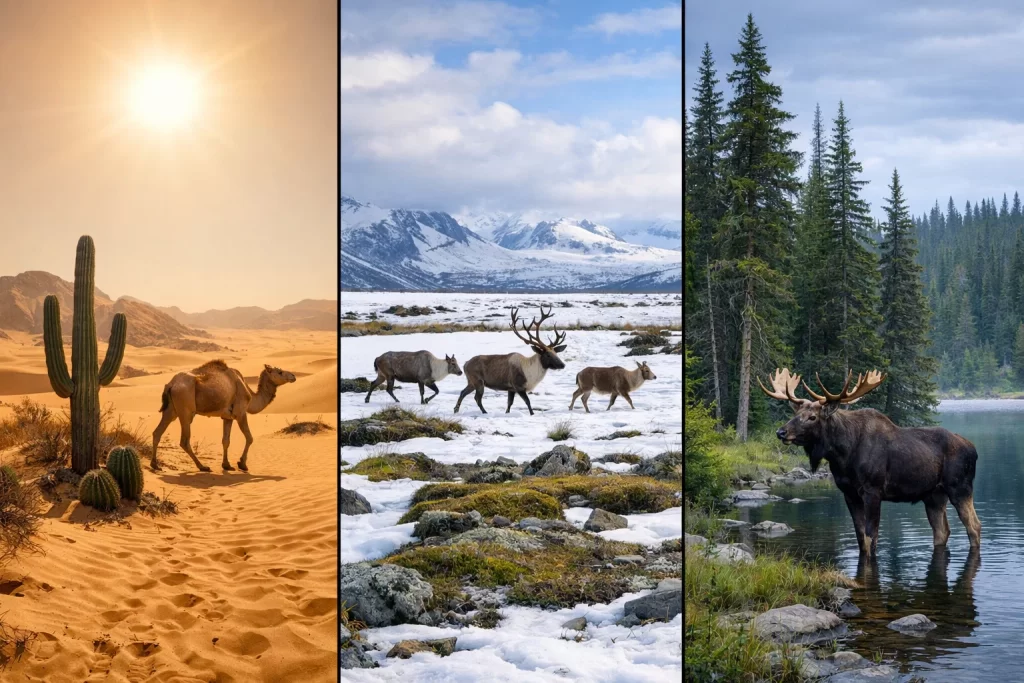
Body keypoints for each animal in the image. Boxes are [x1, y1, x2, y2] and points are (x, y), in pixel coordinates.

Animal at [152, 360, 297, 472]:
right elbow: (249, 438)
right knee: (184, 440)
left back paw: (155, 465)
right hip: (186, 409)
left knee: (157, 432)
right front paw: (242, 464)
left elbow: (226, 440)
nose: (293, 376)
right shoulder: (240, 413)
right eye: (280, 372)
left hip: (171, 410)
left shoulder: (227, 417)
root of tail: (171, 384)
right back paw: (203, 467)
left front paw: (226, 465)